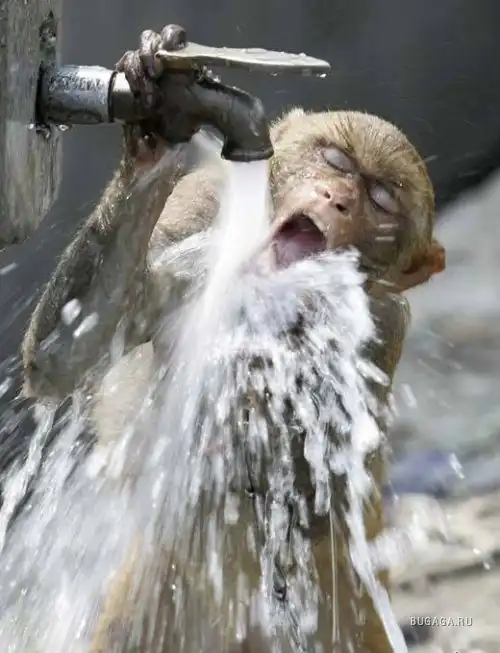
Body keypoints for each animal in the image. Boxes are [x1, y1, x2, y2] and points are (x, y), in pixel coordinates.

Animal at [21, 24, 445, 653]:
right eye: (335, 159)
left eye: (382, 202)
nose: (339, 200)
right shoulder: (195, 212)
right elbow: (62, 357)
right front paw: (149, 99)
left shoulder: (386, 322)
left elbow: (322, 489)